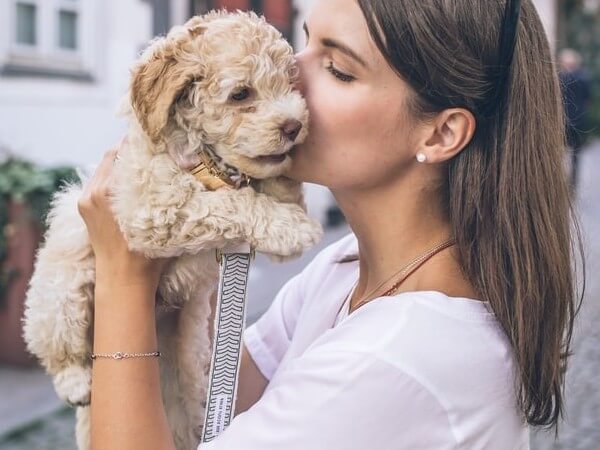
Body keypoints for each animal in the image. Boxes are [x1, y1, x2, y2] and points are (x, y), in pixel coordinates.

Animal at [23, 10, 324, 450]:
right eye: (241, 94)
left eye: (290, 83)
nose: (294, 126)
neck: (207, 161)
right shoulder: (153, 208)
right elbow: (230, 204)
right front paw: (292, 226)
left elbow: (271, 188)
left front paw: (285, 189)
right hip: (58, 295)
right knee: (57, 342)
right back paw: (76, 380)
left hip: (183, 339)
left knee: (187, 385)